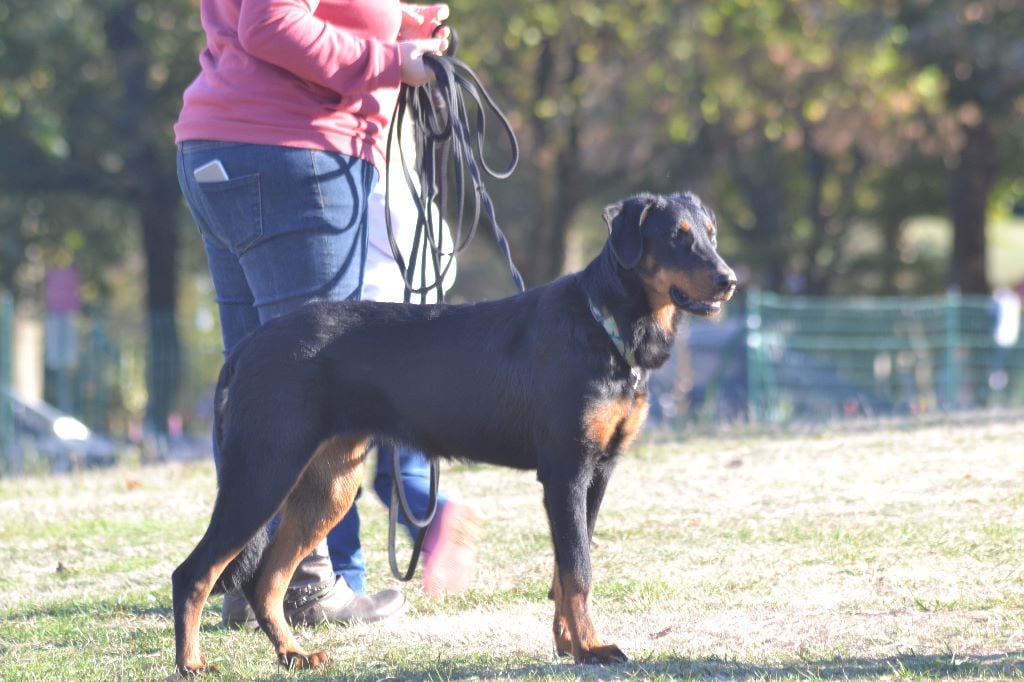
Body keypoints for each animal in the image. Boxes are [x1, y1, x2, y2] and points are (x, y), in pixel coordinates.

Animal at [171, 190, 737, 675]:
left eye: (710, 233)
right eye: (677, 237)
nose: (728, 279)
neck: (604, 323)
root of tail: (248, 347)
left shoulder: (598, 473)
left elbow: (565, 570)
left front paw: (567, 644)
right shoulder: (567, 473)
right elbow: (578, 572)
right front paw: (592, 648)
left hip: (327, 485)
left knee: (267, 579)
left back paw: (293, 654)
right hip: (263, 472)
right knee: (195, 572)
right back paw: (192, 664)